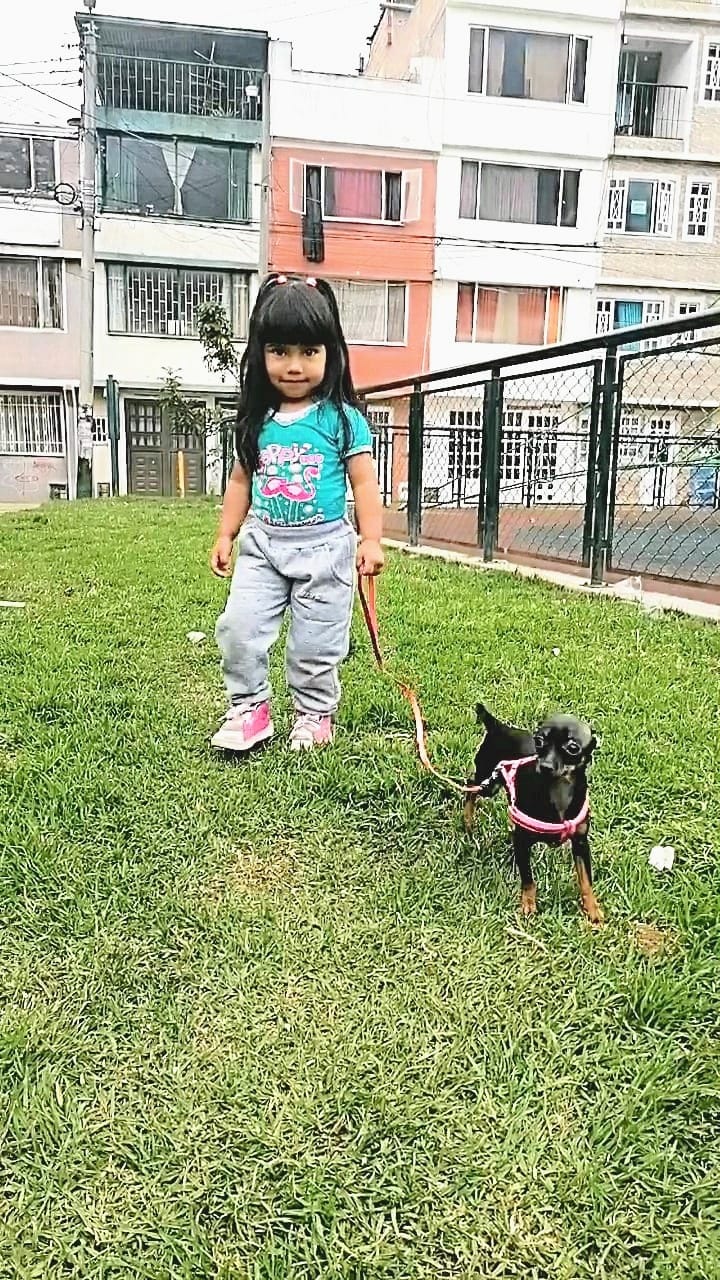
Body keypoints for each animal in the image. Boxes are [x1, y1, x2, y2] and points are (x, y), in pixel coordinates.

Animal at [464, 704, 603, 924]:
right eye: (539, 741)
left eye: (572, 748)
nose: (544, 766)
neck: (559, 790)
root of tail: (498, 726)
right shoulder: (521, 840)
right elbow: (528, 879)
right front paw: (528, 905)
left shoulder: (581, 843)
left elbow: (586, 881)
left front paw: (592, 909)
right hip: (488, 782)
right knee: (470, 786)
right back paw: (468, 821)